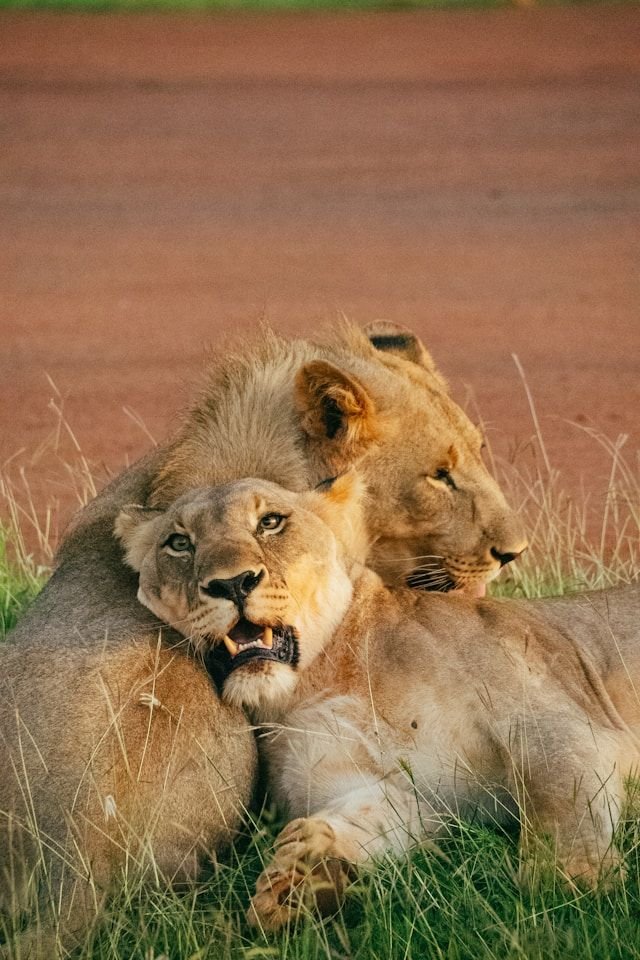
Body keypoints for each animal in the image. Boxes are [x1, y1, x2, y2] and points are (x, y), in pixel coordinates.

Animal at [117, 475, 640, 930]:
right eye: (179, 543)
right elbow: (360, 819)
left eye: (270, 522)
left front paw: (573, 883)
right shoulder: (401, 794)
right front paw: (303, 880)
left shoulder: (548, 715)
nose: (231, 583)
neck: (325, 675)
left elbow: (562, 796)